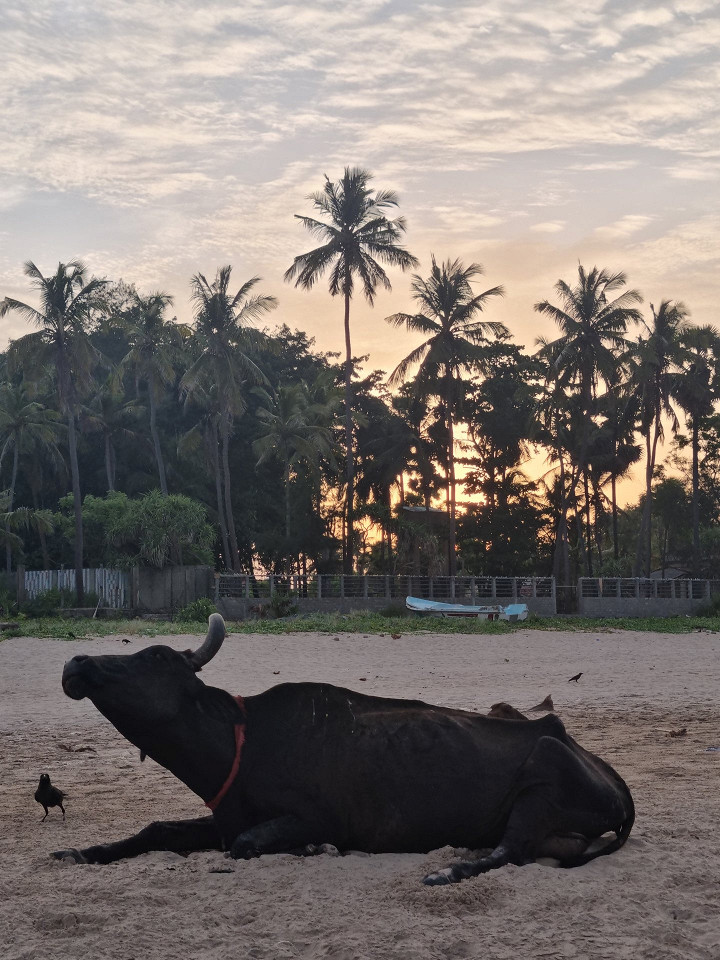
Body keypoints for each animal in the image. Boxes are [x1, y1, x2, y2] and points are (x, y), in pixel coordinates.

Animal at [53, 614, 635, 884]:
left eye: (153, 657)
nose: (77, 663)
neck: (244, 741)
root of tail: (609, 774)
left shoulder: (316, 818)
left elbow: (246, 844)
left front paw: (316, 850)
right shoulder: (221, 818)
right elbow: (156, 831)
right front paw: (83, 851)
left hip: (543, 769)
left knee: (507, 852)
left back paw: (448, 870)